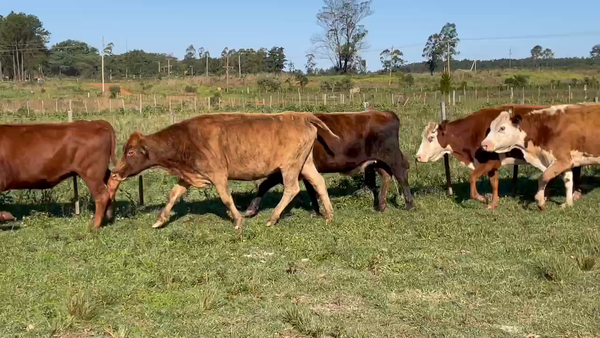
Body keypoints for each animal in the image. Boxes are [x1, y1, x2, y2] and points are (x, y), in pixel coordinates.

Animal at [109, 112, 340, 231]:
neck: (184, 140)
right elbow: (173, 195)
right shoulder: (189, 175)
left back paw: (273, 217)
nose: (115, 172)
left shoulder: (218, 174)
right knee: (319, 182)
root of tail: (300, 115)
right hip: (305, 163)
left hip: (290, 166)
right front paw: (160, 219)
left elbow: (226, 198)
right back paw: (329, 215)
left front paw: (238, 220)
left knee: (291, 189)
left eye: (130, 152)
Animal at [243, 111, 412, 217]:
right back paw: (381, 205)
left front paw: (251, 209)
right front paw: (316, 211)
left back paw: (409, 204)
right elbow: (311, 189)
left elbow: (264, 185)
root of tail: (385, 113)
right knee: (387, 176)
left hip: (392, 157)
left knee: (401, 175)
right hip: (377, 161)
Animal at [414, 104, 580, 209]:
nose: (417, 157)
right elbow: (494, 184)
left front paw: (481, 198)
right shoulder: (493, 165)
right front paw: (493, 204)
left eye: (431, 138)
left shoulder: (487, 162)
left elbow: (472, 178)